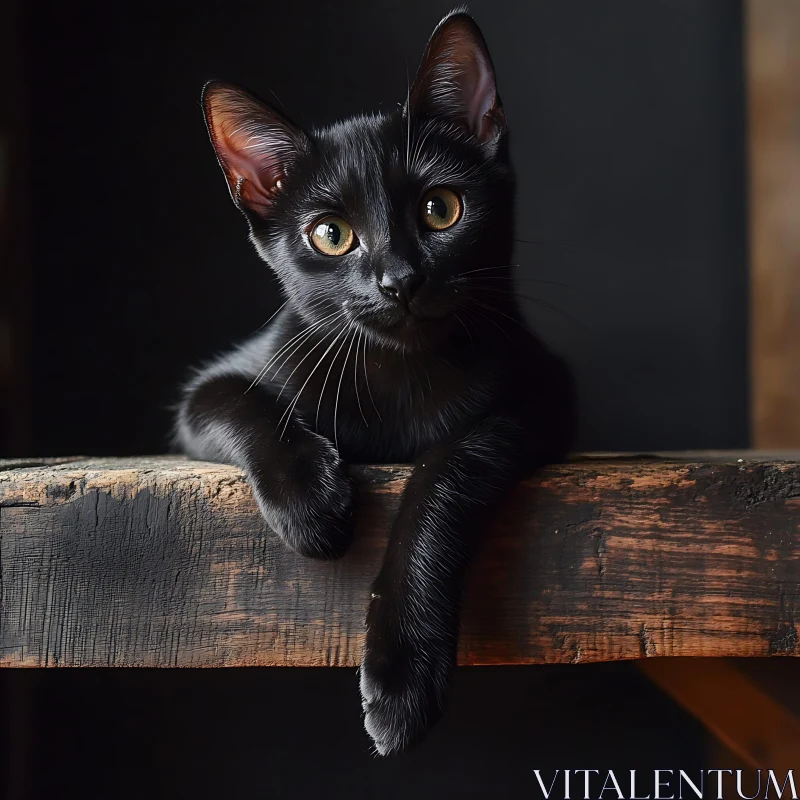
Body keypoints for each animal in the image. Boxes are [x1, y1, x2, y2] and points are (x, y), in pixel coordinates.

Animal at [176, 9, 576, 752]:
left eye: (441, 209)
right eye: (331, 235)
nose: (399, 280)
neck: (400, 374)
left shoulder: (544, 395)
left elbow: (452, 465)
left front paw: (402, 681)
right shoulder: (210, 390)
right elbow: (239, 401)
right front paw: (311, 506)